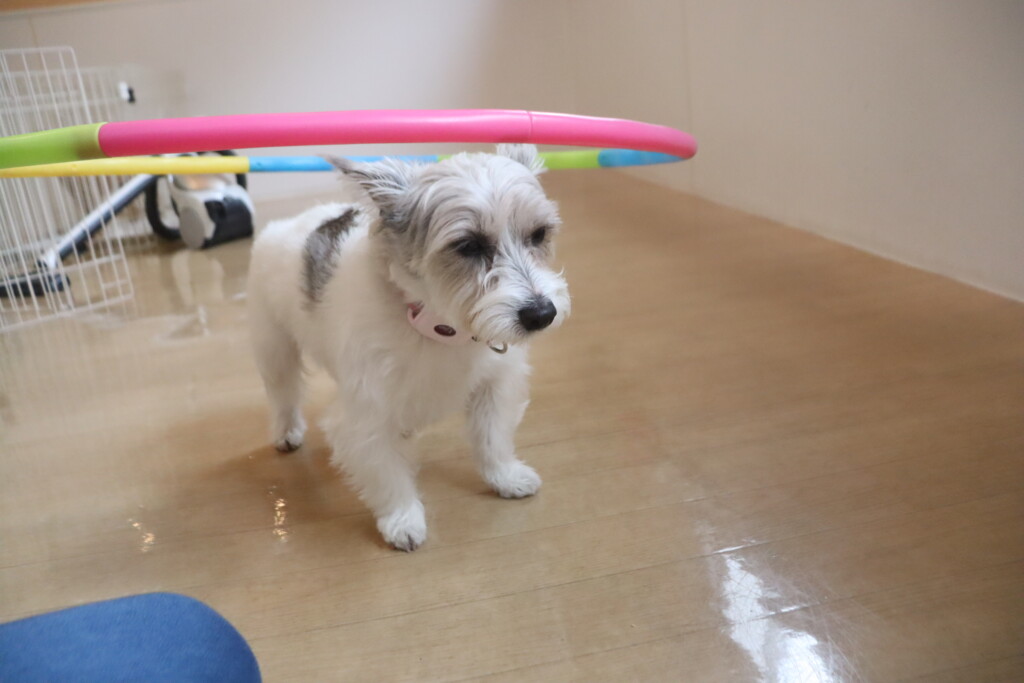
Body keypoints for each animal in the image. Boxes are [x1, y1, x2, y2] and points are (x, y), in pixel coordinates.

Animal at [247, 144, 570, 550]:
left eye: (539, 234)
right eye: (469, 246)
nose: (542, 314)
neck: (440, 328)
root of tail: (292, 222)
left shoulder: (494, 388)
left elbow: (492, 441)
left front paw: (505, 477)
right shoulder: (364, 420)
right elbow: (388, 475)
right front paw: (402, 520)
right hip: (275, 348)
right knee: (283, 393)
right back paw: (286, 430)